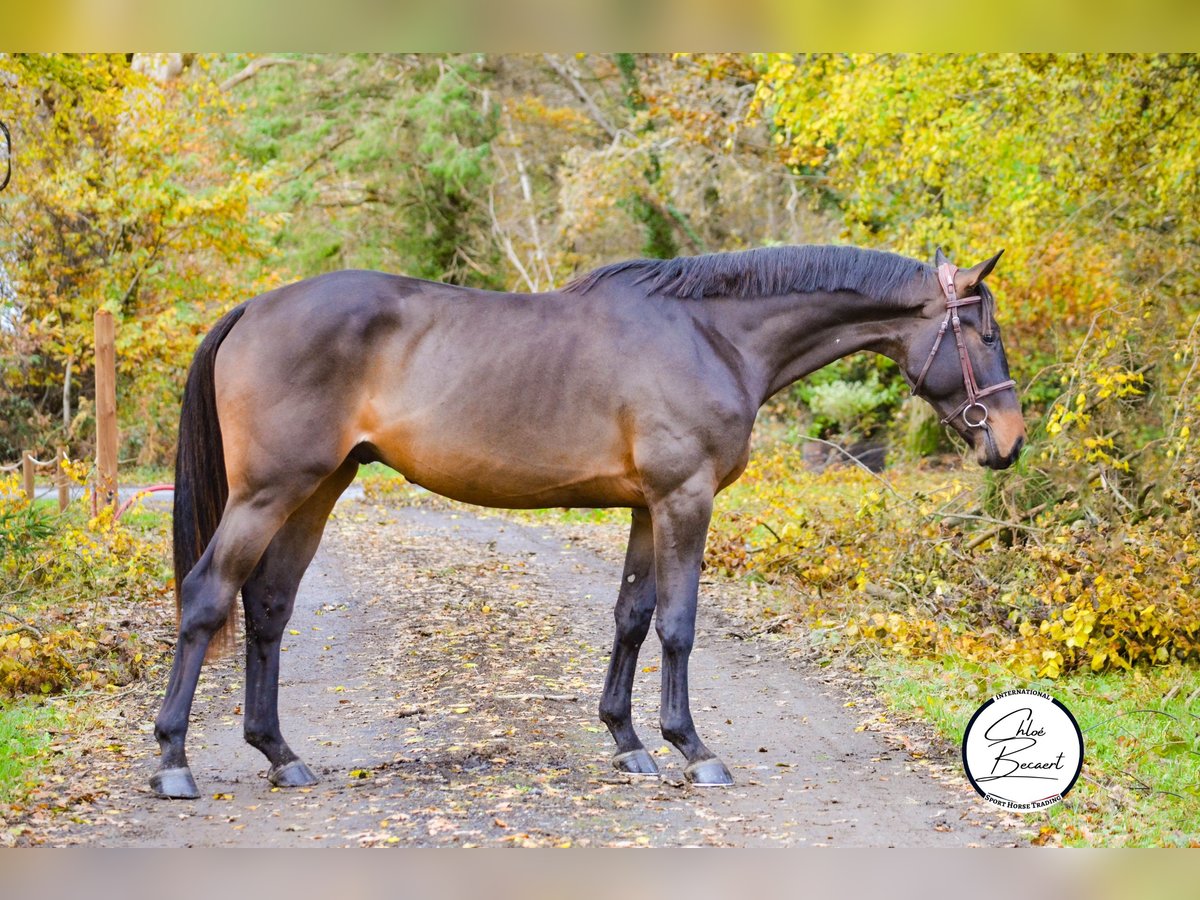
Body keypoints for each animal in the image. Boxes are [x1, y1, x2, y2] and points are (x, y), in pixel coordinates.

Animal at [150, 243, 1027, 801]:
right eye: (983, 330)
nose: (1010, 441)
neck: (711, 336)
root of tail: (255, 308)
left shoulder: (646, 506)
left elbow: (632, 617)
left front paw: (628, 743)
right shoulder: (684, 499)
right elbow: (678, 624)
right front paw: (692, 749)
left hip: (319, 489)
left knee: (268, 607)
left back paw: (280, 756)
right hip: (269, 492)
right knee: (206, 597)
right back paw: (173, 763)